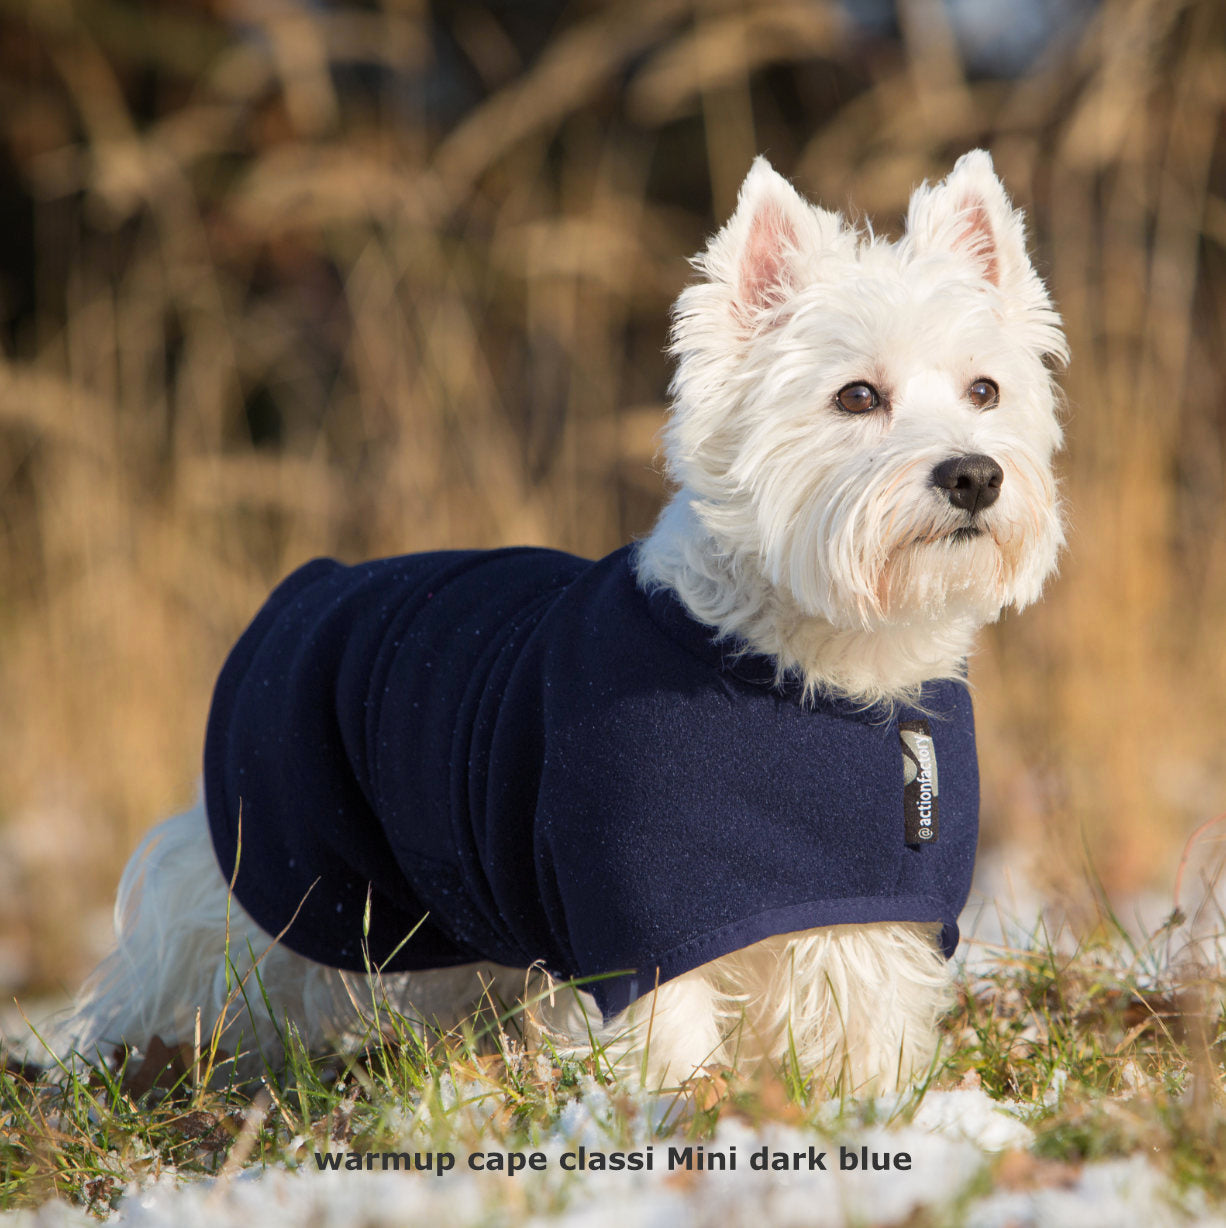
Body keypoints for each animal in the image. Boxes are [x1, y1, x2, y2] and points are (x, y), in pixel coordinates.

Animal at [67, 151, 1066, 1095]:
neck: (823, 671)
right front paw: (679, 1113)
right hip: (275, 866)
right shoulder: (643, 921)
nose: (974, 475)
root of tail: (307, 584)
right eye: (857, 395)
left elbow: (867, 1027)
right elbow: (672, 1044)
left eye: (985, 390)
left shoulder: (870, 910)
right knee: (180, 971)